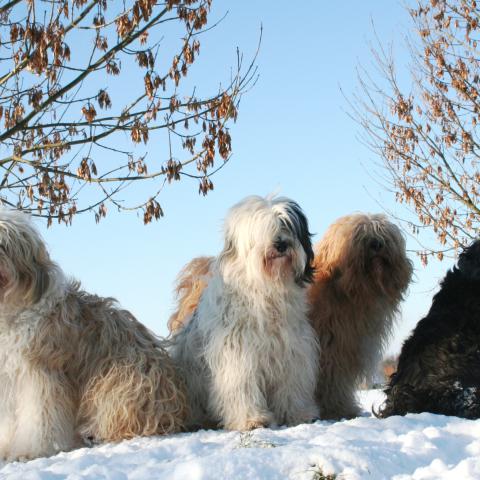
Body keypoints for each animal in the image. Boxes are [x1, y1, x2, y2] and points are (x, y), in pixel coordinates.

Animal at [0, 210, 187, 462]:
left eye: (4, 244)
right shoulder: (9, 377)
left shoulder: (40, 373)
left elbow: (38, 418)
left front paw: (29, 451)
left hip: (123, 381)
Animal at [171, 195, 320, 432]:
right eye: (263, 229)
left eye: (286, 225)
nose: (281, 244)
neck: (267, 291)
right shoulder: (238, 354)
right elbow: (242, 385)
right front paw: (252, 419)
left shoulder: (293, 352)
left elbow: (292, 384)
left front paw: (299, 413)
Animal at [308, 214, 412, 420]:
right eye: (360, 235)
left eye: (383, 234)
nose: (377, 244)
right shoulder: (332, 348)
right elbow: (331, 379)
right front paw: (337, 410)